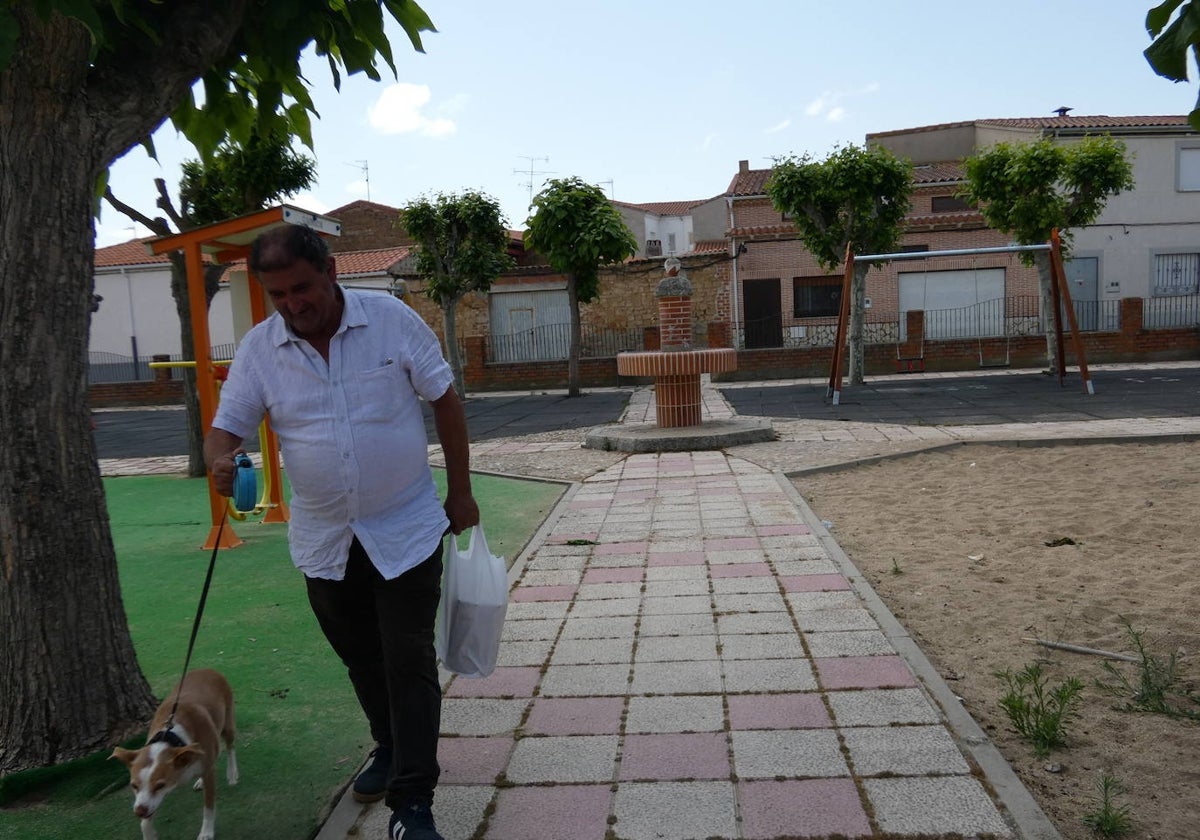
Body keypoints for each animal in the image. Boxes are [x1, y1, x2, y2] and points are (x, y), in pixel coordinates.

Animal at [111, 667, 237, 840]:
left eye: (160, 785)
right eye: (134, 785)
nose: (139, 811)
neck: (171, 737)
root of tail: (206, 669)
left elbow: (209, 807)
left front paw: (206, 832)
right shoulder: (150, 799)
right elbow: (146, 819)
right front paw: (148, 833)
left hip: (227, 721)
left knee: (230, 747)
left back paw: (232, 773)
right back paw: (201, 781)